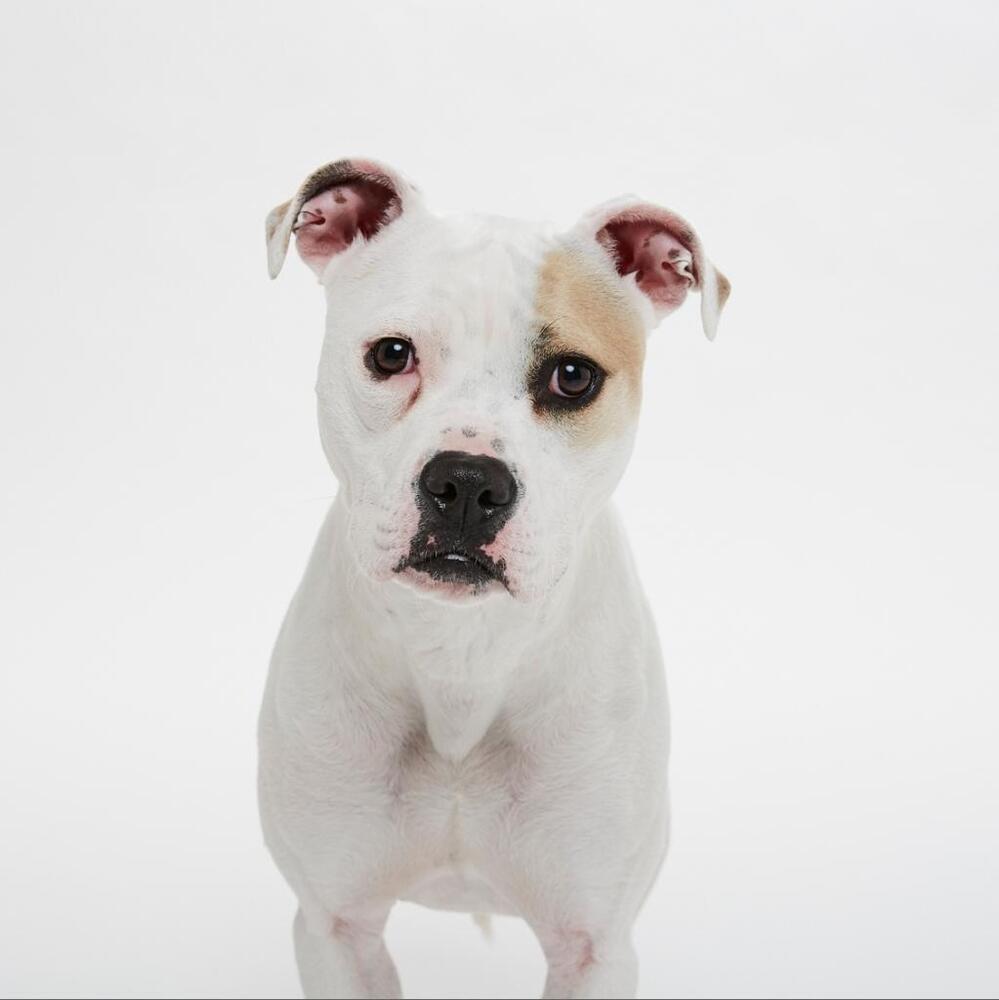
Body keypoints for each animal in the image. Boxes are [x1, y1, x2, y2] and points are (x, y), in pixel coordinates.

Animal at [258, 157, 729, 999]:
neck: (461, 656)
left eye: (573, 376)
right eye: (390, 354)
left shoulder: (594, 943)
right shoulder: (335, 926)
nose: (468, 483)